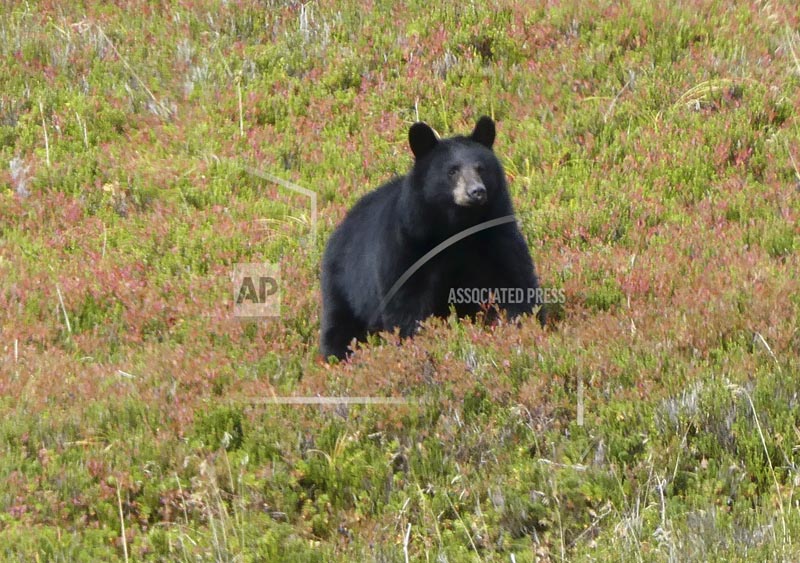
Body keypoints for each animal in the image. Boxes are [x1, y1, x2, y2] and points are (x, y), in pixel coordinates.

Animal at [320, 116, 544, 361]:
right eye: (452, 171)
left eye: (481, 168)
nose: (476, 191)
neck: (458, 228)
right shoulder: (407, 245)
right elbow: (406, 302)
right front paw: (416, 342)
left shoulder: (497, 238)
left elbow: (514, 281)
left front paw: (523, 327)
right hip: (344, 283)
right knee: (340, 324)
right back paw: (338, 355)